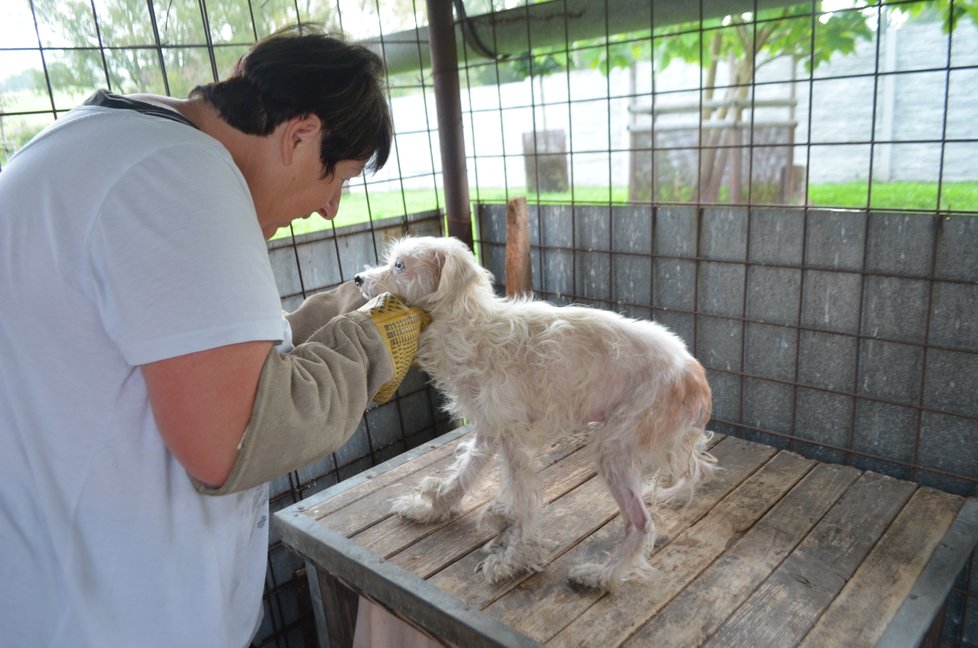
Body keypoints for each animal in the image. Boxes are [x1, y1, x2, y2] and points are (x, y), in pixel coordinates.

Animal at [354, 235, 712, 588]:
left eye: (400, 266)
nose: (357, 278)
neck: (473, 330)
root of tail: (695, 375)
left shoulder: (515, 442)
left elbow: (524, 503)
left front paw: (513, 559)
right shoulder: (488, 428)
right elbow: (463, 474)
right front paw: (431, 509)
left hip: (614, 450)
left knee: (641, 523)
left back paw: (601, 575)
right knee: (685, 479)